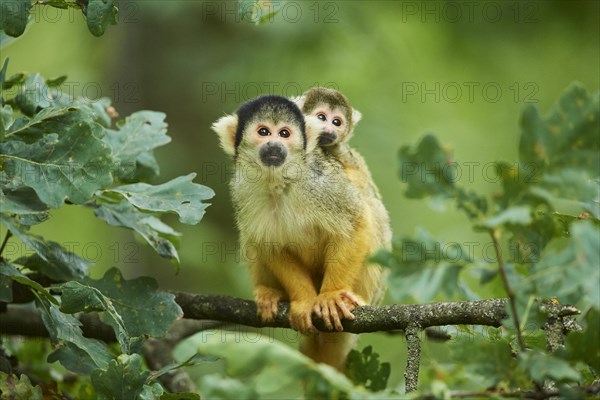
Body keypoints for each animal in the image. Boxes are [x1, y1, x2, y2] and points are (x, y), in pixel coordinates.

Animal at [211, 94, 390, 372]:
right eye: (263, 132)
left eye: (285, 133)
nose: (274, 145)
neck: (279, 179)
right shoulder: (243, 190)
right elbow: (269, 245)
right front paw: (305, 301)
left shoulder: (320, 181)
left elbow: (357, 222)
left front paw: (330, 296)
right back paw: (270, 292)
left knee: (372, 210)